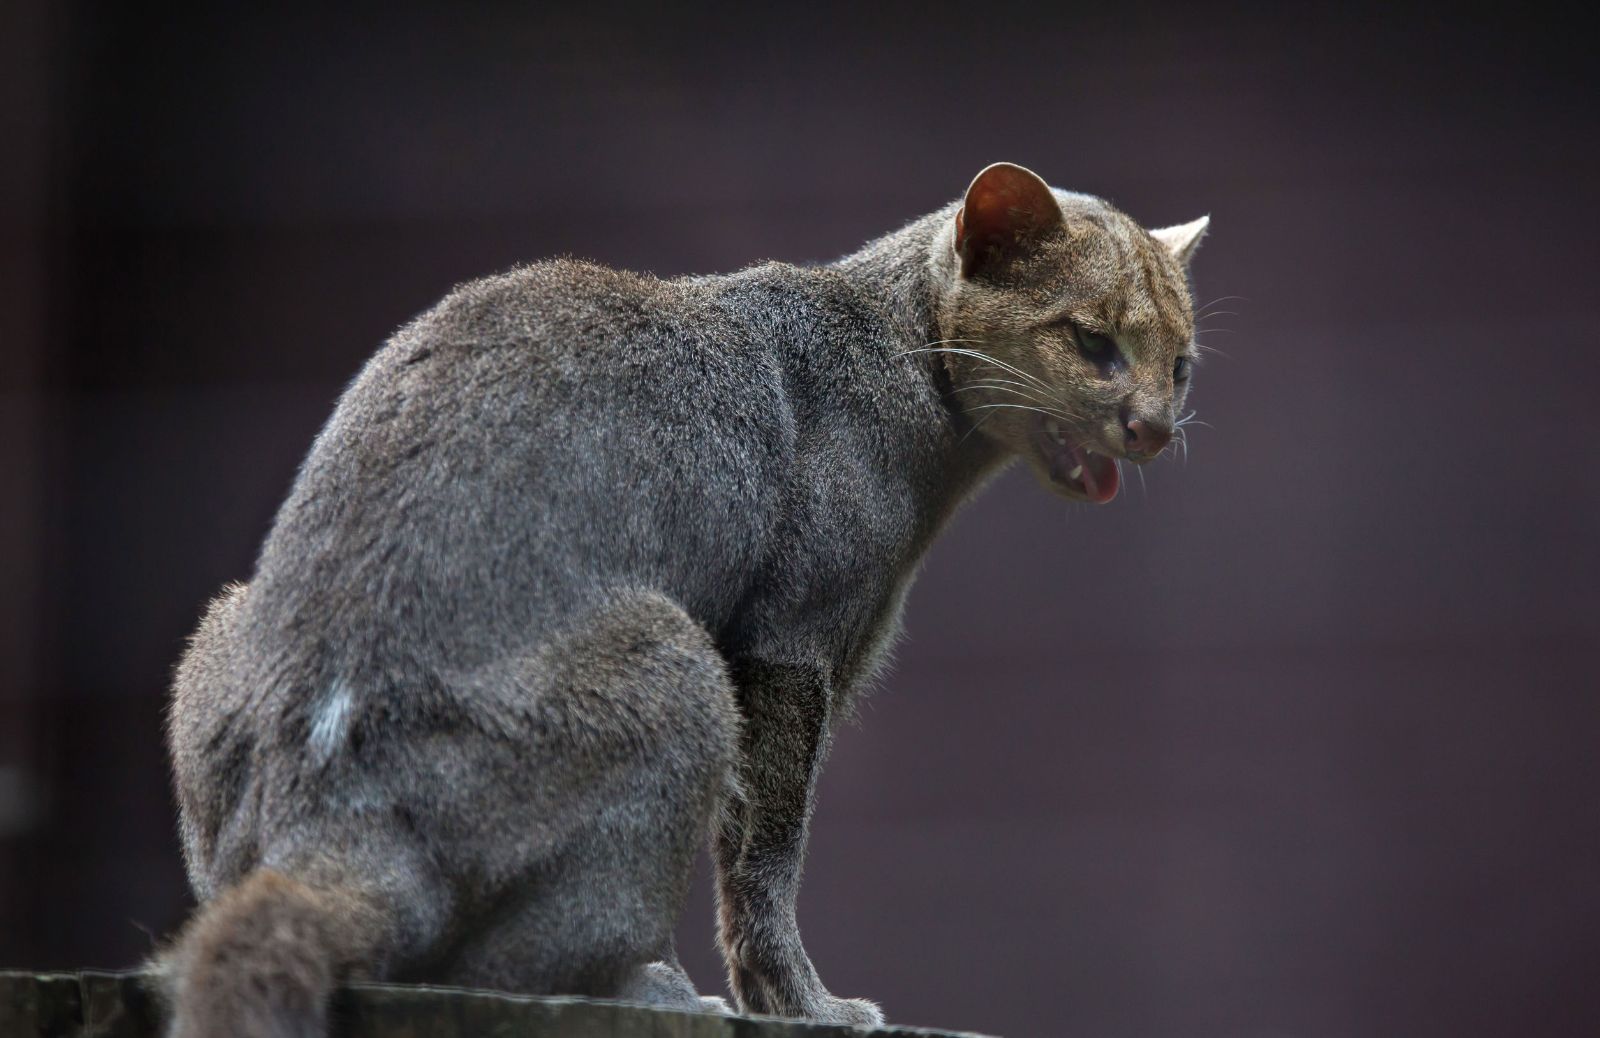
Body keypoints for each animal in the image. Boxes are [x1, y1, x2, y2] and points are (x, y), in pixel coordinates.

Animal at [162, 159, 1203, 1030]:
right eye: (1092, 340)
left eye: (1182, 363)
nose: (1155, 426)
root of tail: (329, 804)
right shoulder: (792, 647)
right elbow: (766, 855)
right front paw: (806, 1005)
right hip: (672, 662)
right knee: (499, 959)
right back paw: (658, 987)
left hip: (220, 630)